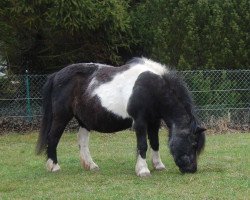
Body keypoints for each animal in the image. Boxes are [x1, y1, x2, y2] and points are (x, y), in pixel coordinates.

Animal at [36, 57, 205, 177]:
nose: (192, 169)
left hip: (84, 121)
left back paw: (91, 166)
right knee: (53, 138)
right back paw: (54, 166)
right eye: (193, 143)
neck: (152, 87)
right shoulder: (140, 122)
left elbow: (155, 143)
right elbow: (142, 145)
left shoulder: (154, 122)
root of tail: (56, 75)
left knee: (82, 142)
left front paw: (158, 165)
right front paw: (143, 170)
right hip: (61, 117)